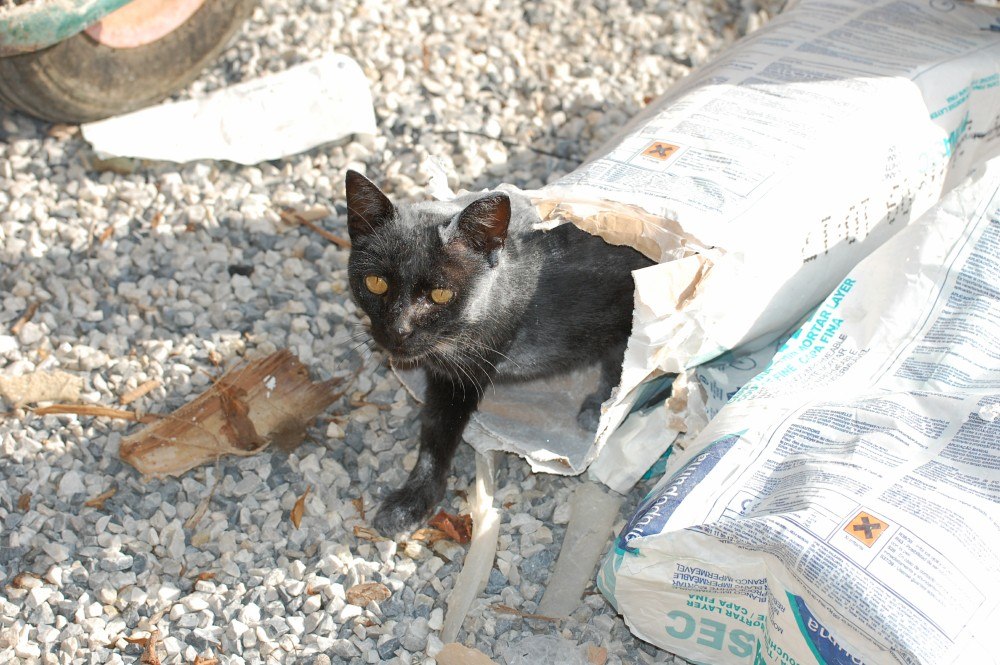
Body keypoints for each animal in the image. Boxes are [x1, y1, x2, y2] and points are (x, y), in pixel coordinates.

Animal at [346, 171, 656, 536]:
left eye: (440, 294)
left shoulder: (463, 374)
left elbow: (438, 436)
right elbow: (433, 429)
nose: (398, 330)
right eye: (376, 283)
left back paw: (598, 408)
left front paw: (410, 503)